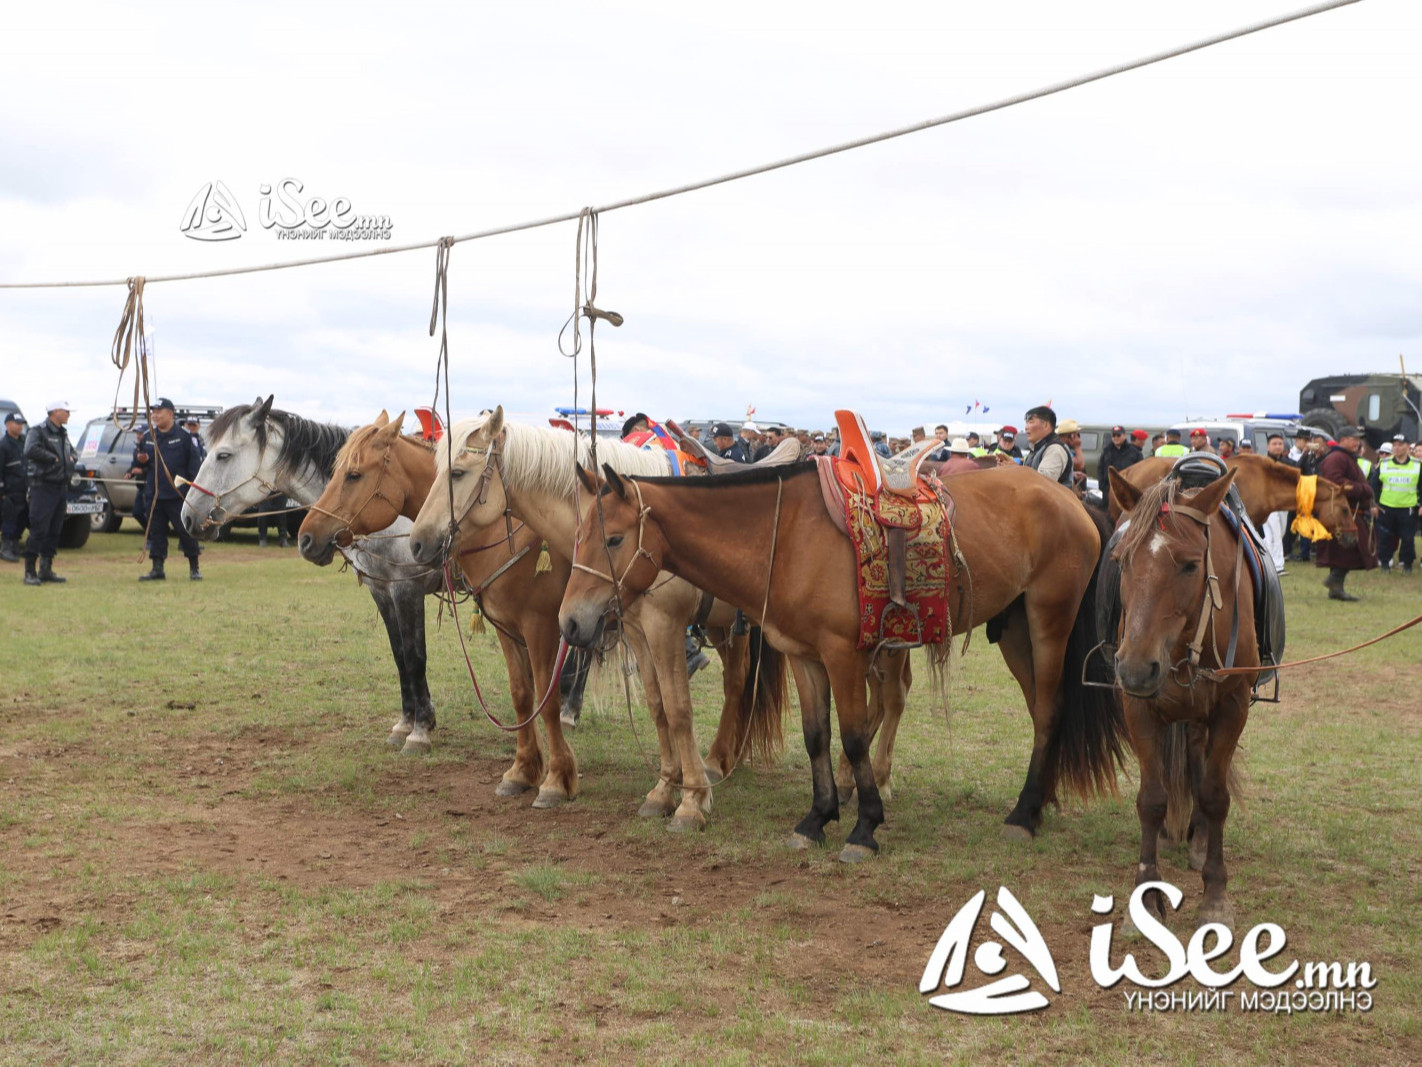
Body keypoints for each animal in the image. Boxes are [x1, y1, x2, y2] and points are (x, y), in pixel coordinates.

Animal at [180, 398, 440, 756]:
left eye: (224, 455)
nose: (188, 517)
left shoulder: (406, 590)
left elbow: (416, 658)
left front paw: (420, 730)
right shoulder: (382, 591)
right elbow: (400, 656)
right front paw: (404, 724)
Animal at [554, 463, 1120, 864]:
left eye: (613, 538)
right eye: (576, 535)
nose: (571, 623)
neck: (785, 536)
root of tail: (1072, 498)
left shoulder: (844, 655)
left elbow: (851, 737)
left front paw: (864, 828)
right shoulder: (805, 657)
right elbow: (816, 737)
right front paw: (815, 820)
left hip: (1048, 622)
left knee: (1048, 711)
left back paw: (1023, 815)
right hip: (1017, 631)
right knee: (1041, 711)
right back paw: (1037, 805)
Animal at [1103, 466, 1251, 927]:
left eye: (1190, 565)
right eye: (1121, 561)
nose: (1135, 666)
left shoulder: (1232, 708)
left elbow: (1214, 795)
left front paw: (1216, 895)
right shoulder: (1137, 707)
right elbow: (1151, 799)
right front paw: (1146, 899)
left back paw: (1199, 841)